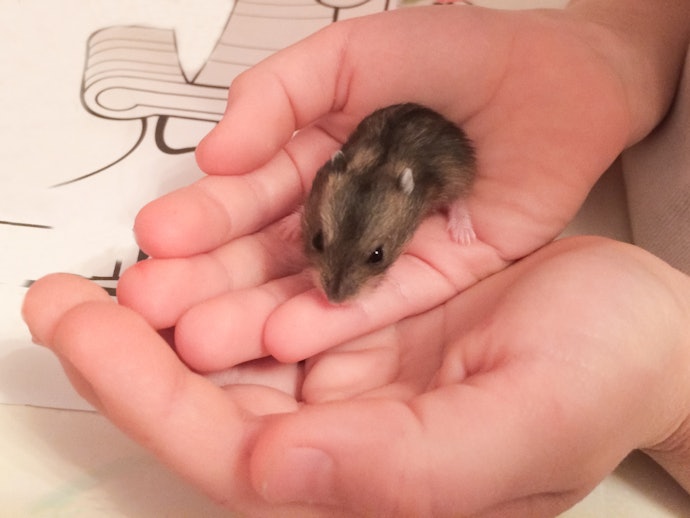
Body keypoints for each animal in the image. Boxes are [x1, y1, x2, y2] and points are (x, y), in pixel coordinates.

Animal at [301, 102, 476, 303]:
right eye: (317, 240)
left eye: (377, 256)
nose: (333, 301)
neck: (379, 164)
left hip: (458, 175)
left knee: (459, 199)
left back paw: (463, 236)